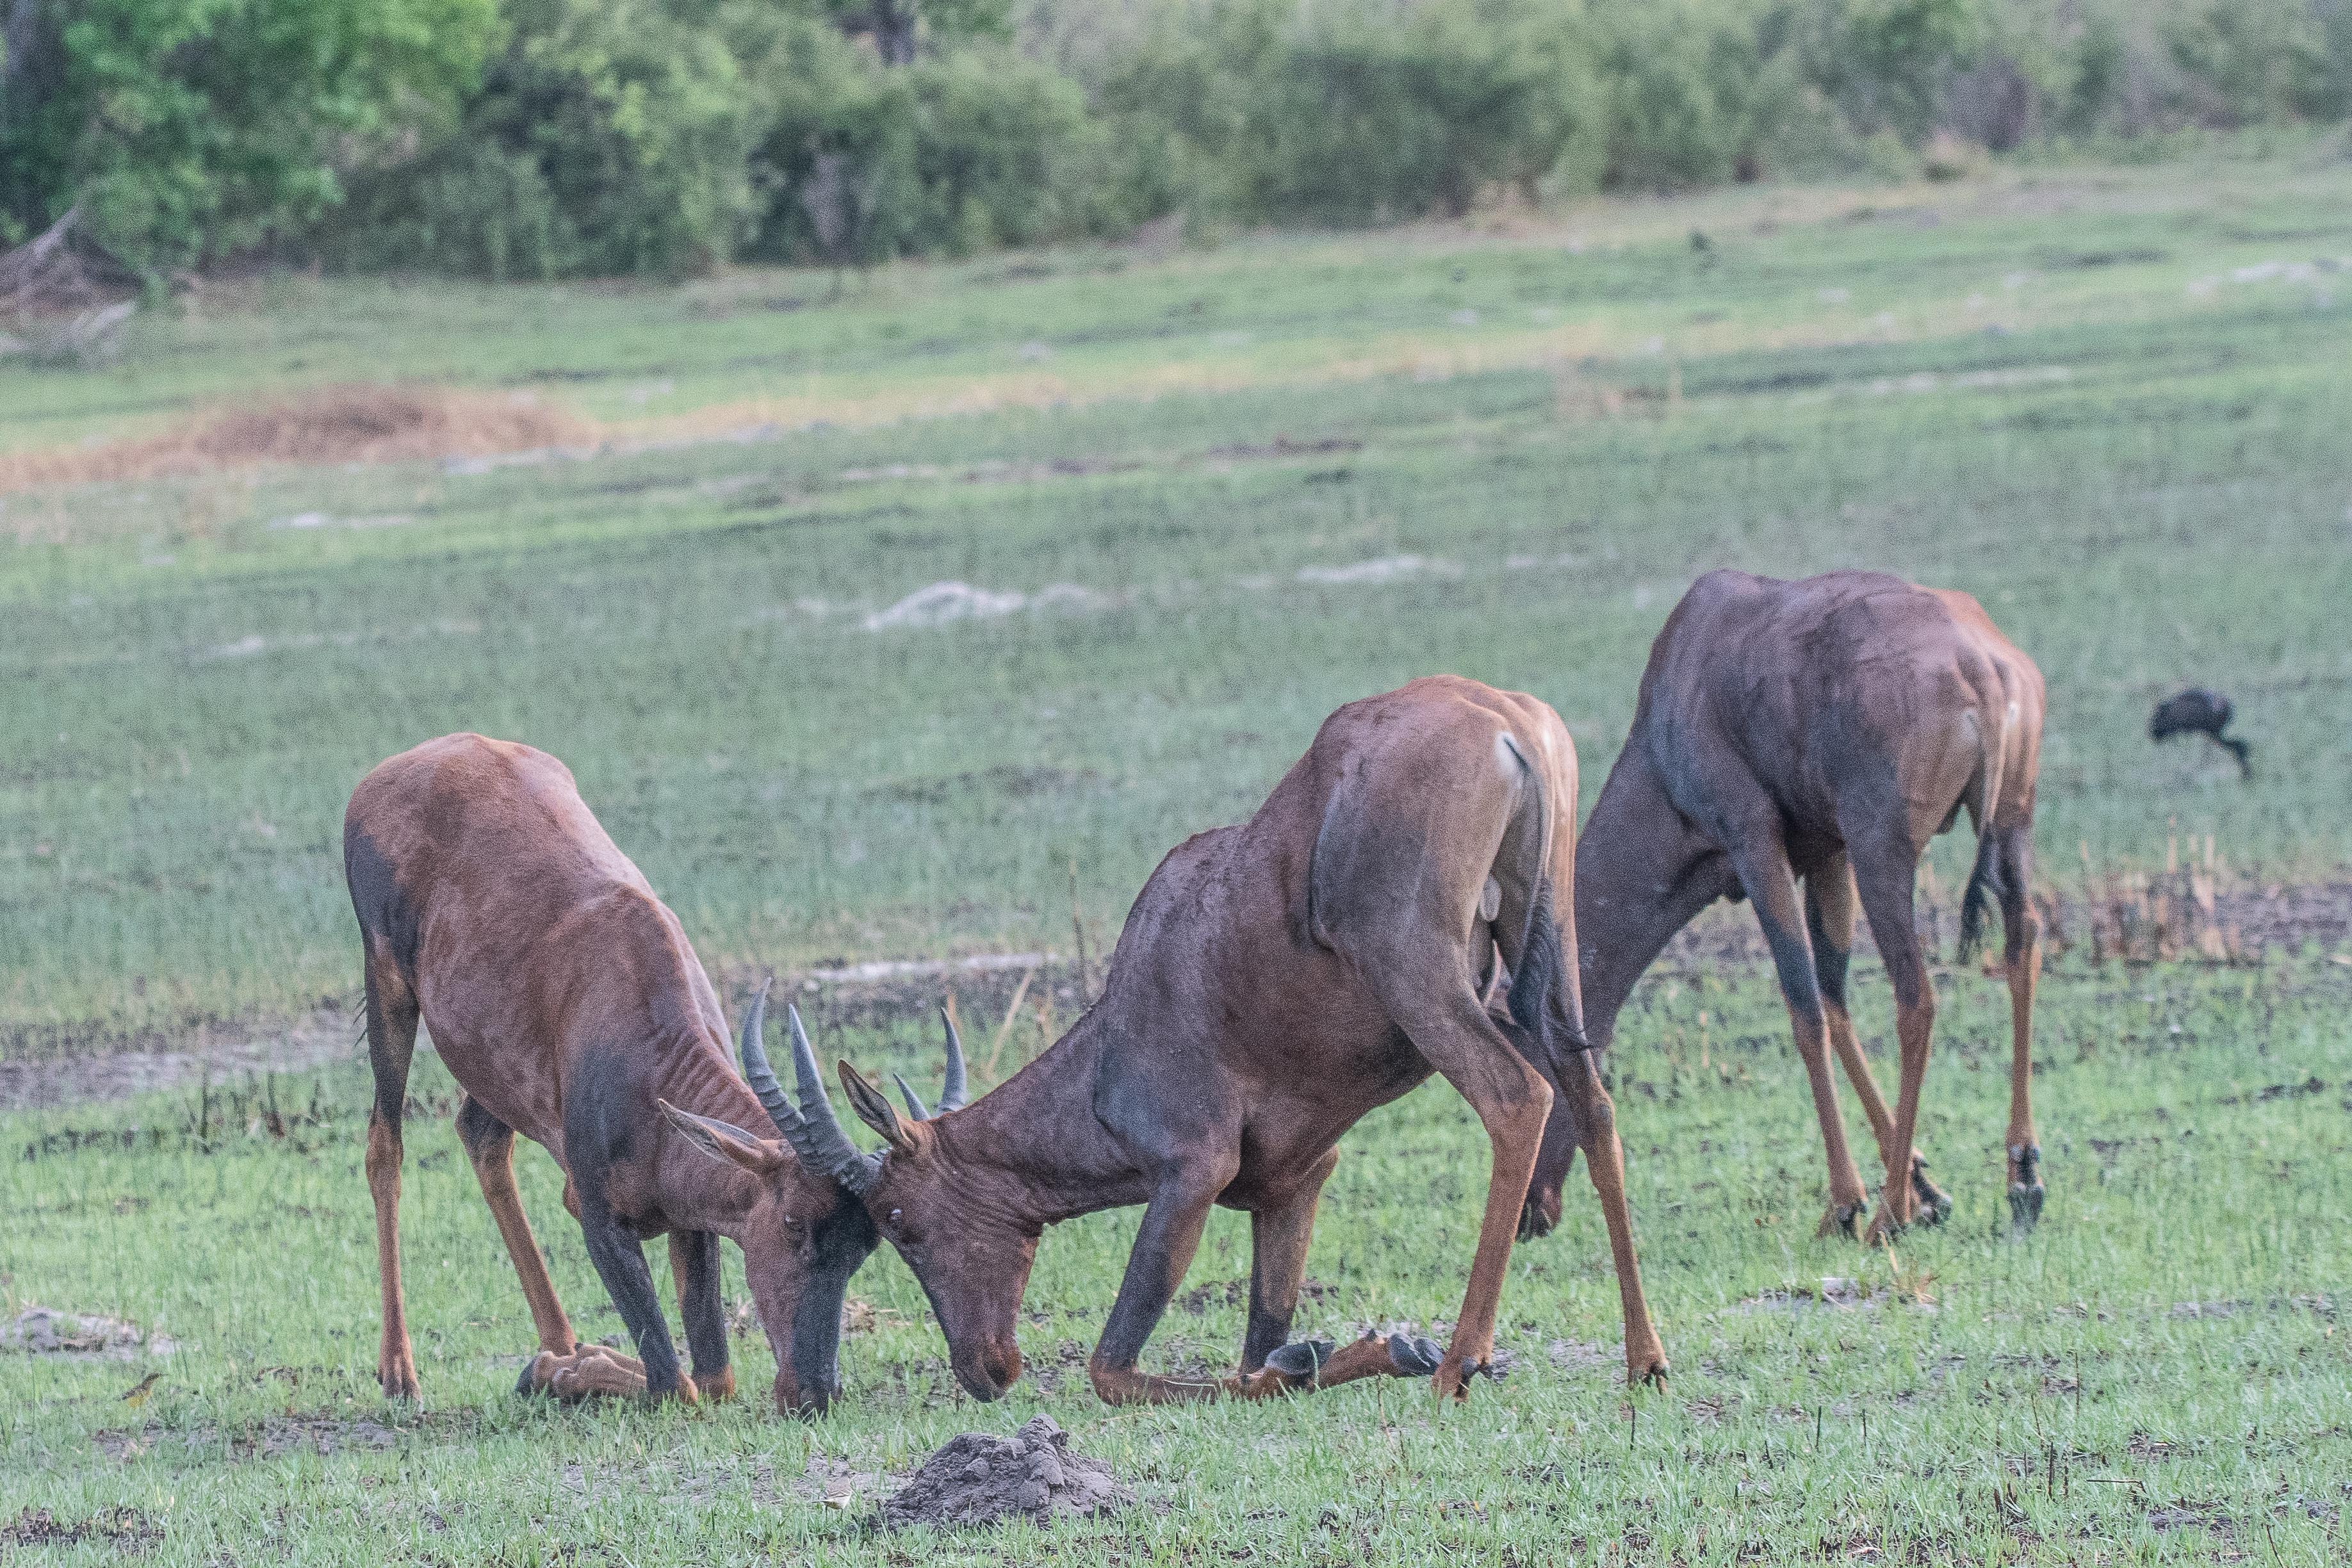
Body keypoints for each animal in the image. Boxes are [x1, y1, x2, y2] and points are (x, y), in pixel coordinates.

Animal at [341, 742, 874, 1419]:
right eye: (792, 1224)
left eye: (863, 1248)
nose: (813, 1393)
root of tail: (400, 766)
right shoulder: (596, 1216)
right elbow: (675, 1385)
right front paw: (551, 1373)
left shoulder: (689, 1217)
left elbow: (714, 1379)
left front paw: (559, 1366)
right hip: (387, 983)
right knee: (385, 1145)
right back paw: (402, 1375)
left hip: (494, 1069)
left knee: (480, 1137)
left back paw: (560, 1344)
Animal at [673, 682, 1674, 1401]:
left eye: (897, 1221)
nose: (986, 1372)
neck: (1131, 1006)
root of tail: (1504, 721)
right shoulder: (1295, 1184)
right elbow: (1261, 1342)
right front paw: (1330, 1353)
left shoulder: (1190, 1173)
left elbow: (1119, 1370)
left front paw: (1394, 1348)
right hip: (1550, 948)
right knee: (1591, 1097)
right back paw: (1645, 1360)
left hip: (1421, 977)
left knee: (1517, 1097)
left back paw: (1460, 1361)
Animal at [1514, 571, 2050, 1241]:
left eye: (1528, 1049)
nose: (1529, 1215)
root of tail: (1982, 666)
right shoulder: (1828, 854)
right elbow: (1834, 1000)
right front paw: (1928, 1192)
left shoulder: (1755, 843)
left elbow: (1805, 1007)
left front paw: (1849, 1204)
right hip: (2008, 827)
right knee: (2023, 942)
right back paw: (2023, 1178)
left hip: (1883, 852)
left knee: (1916, 998)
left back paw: (1886, 1217)